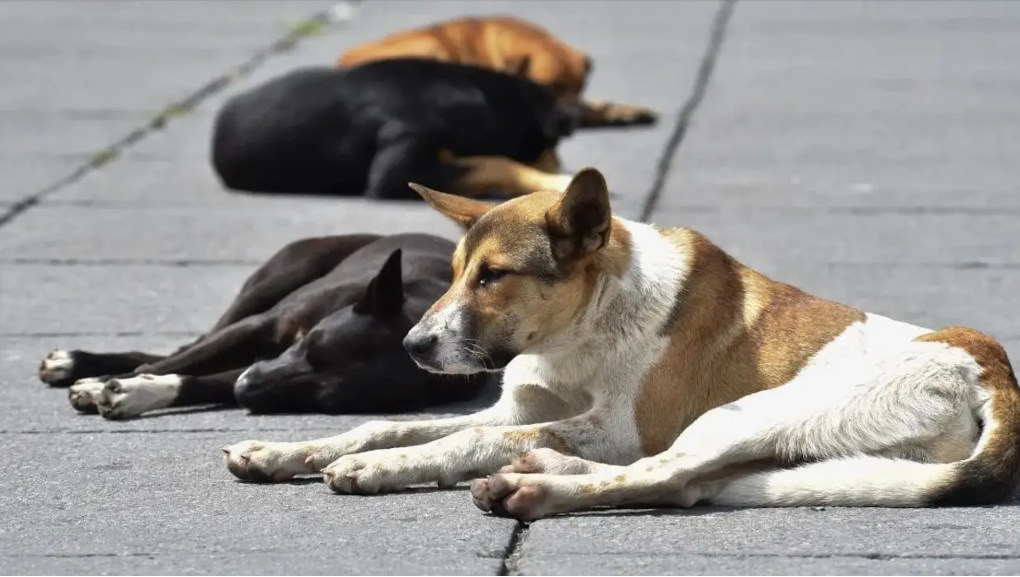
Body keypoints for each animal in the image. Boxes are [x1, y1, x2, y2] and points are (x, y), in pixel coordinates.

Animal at [38, 233, 485, 422]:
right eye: (309, 345)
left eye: (323, 400)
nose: (247, 388)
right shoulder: (260, 331)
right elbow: (180, 362)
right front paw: (105, 383)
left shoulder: (261, 368)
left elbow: (199, 380)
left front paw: (138, 391)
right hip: (276, 280)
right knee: (191, 344)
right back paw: (78, 363)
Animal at [219, 169, 1015, 521]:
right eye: (452, 274)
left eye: (493, 276)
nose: (413, 345)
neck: (586, 329)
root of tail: (992, 370)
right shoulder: (516, 408)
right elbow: (387, 421)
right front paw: (286, 450)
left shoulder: (622, 427)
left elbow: (459, 442)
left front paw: (382, 469)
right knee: (685, 483)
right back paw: (538, 470)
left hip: (752, 413)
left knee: (665, 474)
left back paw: (535, 487)